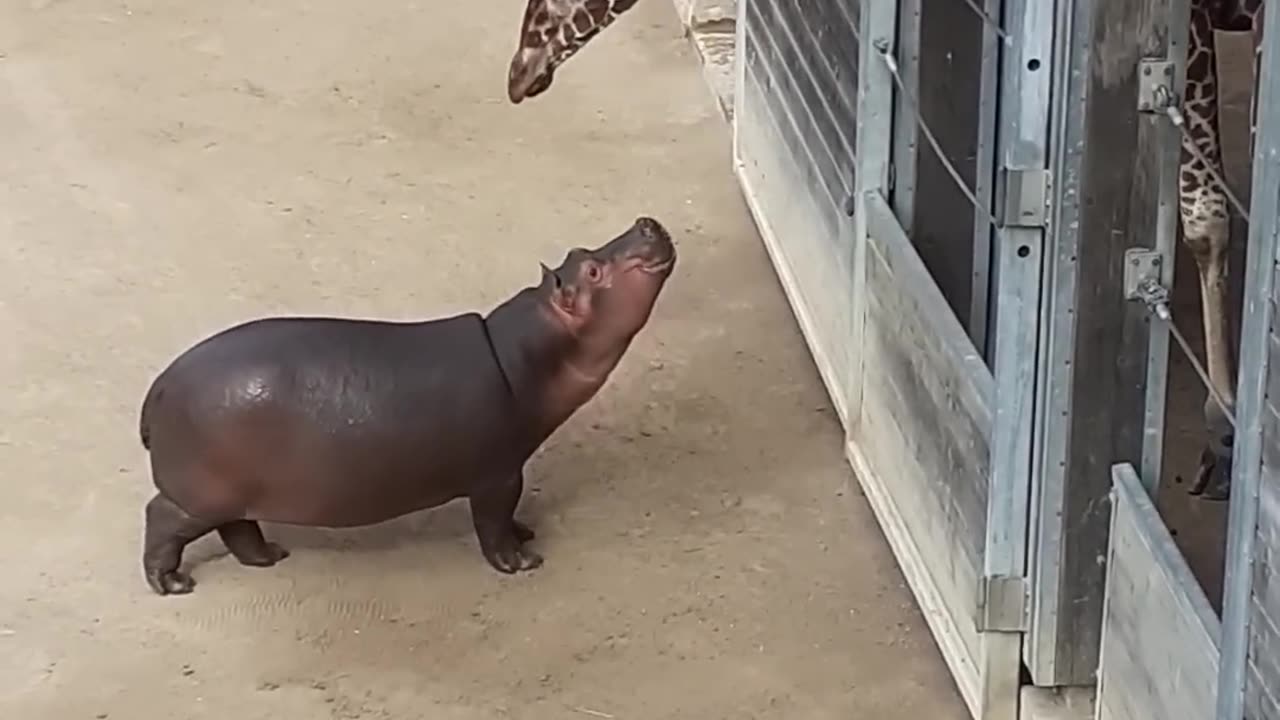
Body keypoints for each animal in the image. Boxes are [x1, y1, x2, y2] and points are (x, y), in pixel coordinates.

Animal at [137, 213, 680, 594]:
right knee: (161, 518)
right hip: (196, 495)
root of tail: (158, 386)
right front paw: (522, 562)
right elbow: (493, 522)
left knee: (238, 527)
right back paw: (173, 584)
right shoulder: (499, 474)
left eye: (580, 250)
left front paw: (526, 533)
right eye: (593, 269)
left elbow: (508, 519)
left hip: (229, 491)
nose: (645, 221)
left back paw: (270, 556)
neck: (525, 350)